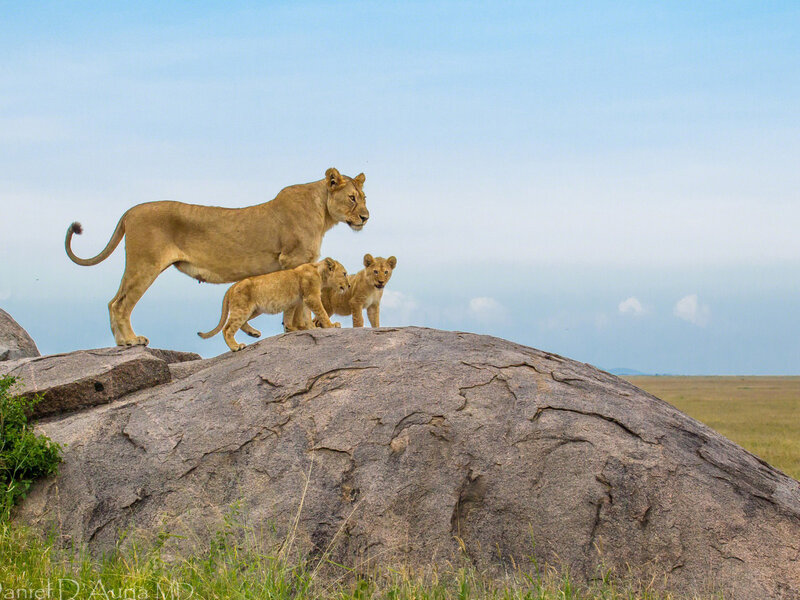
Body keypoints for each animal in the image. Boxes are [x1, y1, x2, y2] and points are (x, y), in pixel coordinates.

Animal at [198, 258, 348, 352]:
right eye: (344, 273)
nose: (349, 286)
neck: (319, 272)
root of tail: (232, 286)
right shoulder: (311, 297)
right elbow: (321, 312)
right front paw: (331, 325)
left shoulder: (300, 300)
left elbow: (298, 316)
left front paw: (309, 328)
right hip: (242, 308)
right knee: (228, 328)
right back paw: (236, 347)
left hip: (254, 309)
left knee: (242, 323)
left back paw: (254, 333)